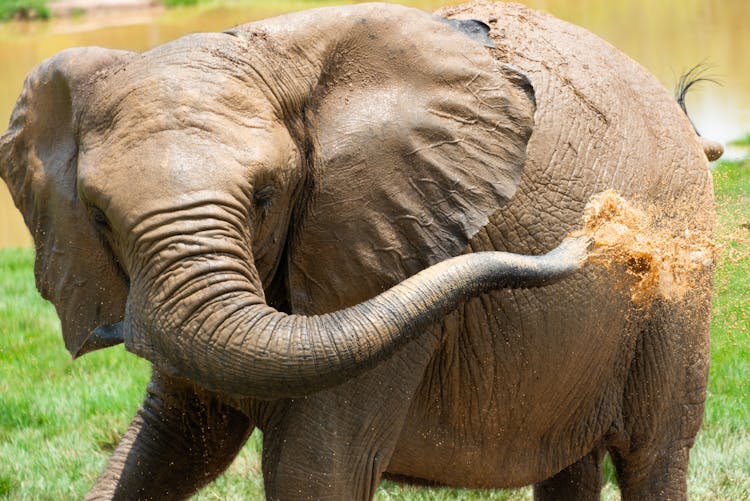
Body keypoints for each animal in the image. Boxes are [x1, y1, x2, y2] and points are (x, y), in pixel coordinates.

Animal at [0, 0, 720, 500]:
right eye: (97, 216)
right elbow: (169, 443)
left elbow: (316, 469)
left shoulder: (391, 248)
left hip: (680, 291)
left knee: (652, 454)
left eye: (265, 197)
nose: (594, 230)